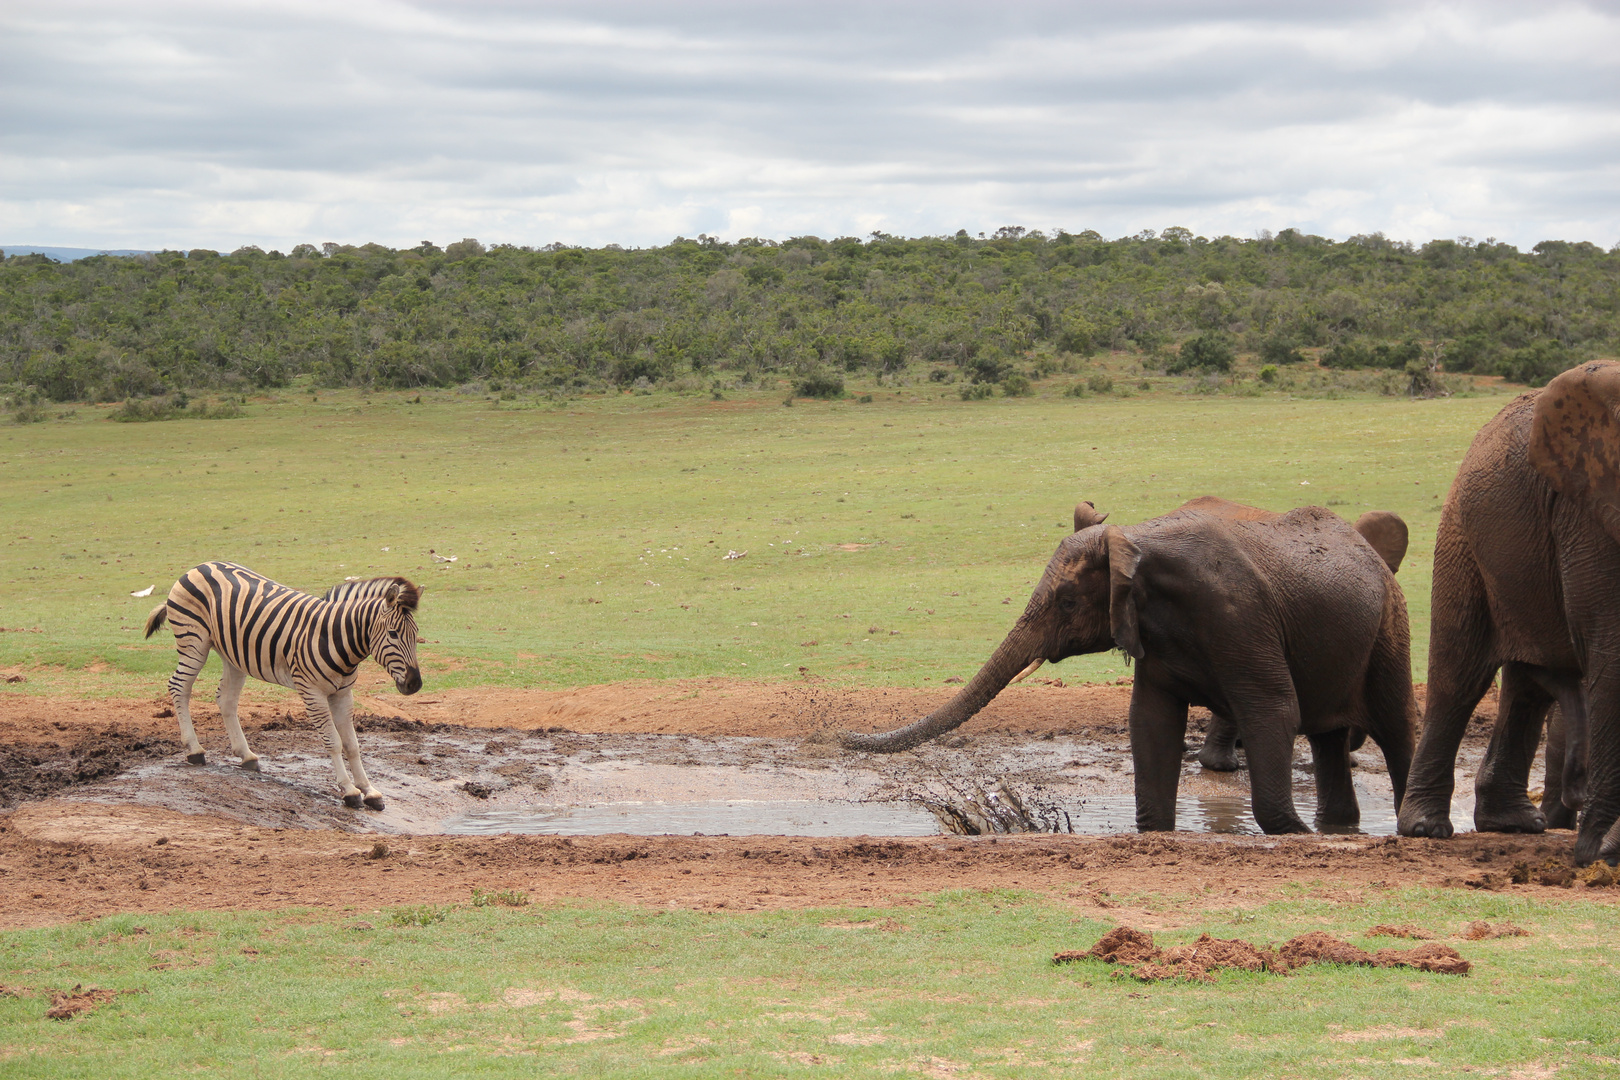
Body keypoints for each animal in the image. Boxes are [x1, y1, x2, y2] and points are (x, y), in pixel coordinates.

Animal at [144, 563, 424, 806]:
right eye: (393, 634)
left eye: (416, 634)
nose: (415, 684)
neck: (334, 638)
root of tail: (199, 566)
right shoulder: (312, 693)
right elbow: (333, 741)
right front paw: (349, 791)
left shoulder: (343, 694)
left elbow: (353, 744)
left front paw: (370, 790)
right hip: (194, 641)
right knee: (179, 687)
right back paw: (194, 750)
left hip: (233, 654)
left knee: (226, 699)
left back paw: (246, 755)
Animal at [848, 495, 1419, 835]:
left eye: (1067, 603)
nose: (845, 738)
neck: (1140, 542)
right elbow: (1150, 722)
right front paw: (1155, 829)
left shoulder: (1239, 616)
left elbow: (1272, 711)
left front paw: (1289, 833)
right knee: (1327, 737)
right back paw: (1338, 829)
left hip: (1391, 626)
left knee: (1394, 728)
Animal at [1393, 359, 1620, 867]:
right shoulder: (1588, 512)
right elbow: (1612, 646)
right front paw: (1603, 852)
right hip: (1462, 536)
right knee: (1459, 676)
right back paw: (1425, 828)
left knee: (1526, 685)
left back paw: (1512, 823)